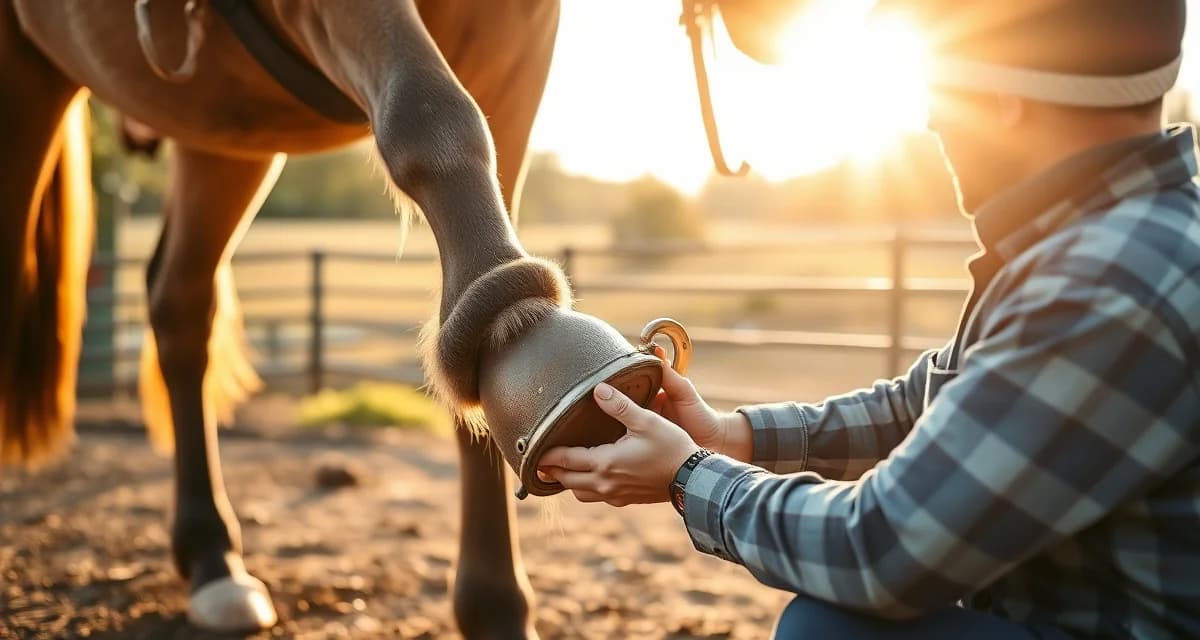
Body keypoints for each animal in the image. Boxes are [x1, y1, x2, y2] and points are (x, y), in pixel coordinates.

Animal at [0, 0, 795, 635]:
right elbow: (431, 110)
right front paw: (520, 323)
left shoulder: (519, 37)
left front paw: (494, 606)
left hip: (223, 128)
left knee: (180, 301)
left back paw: (211, 559)